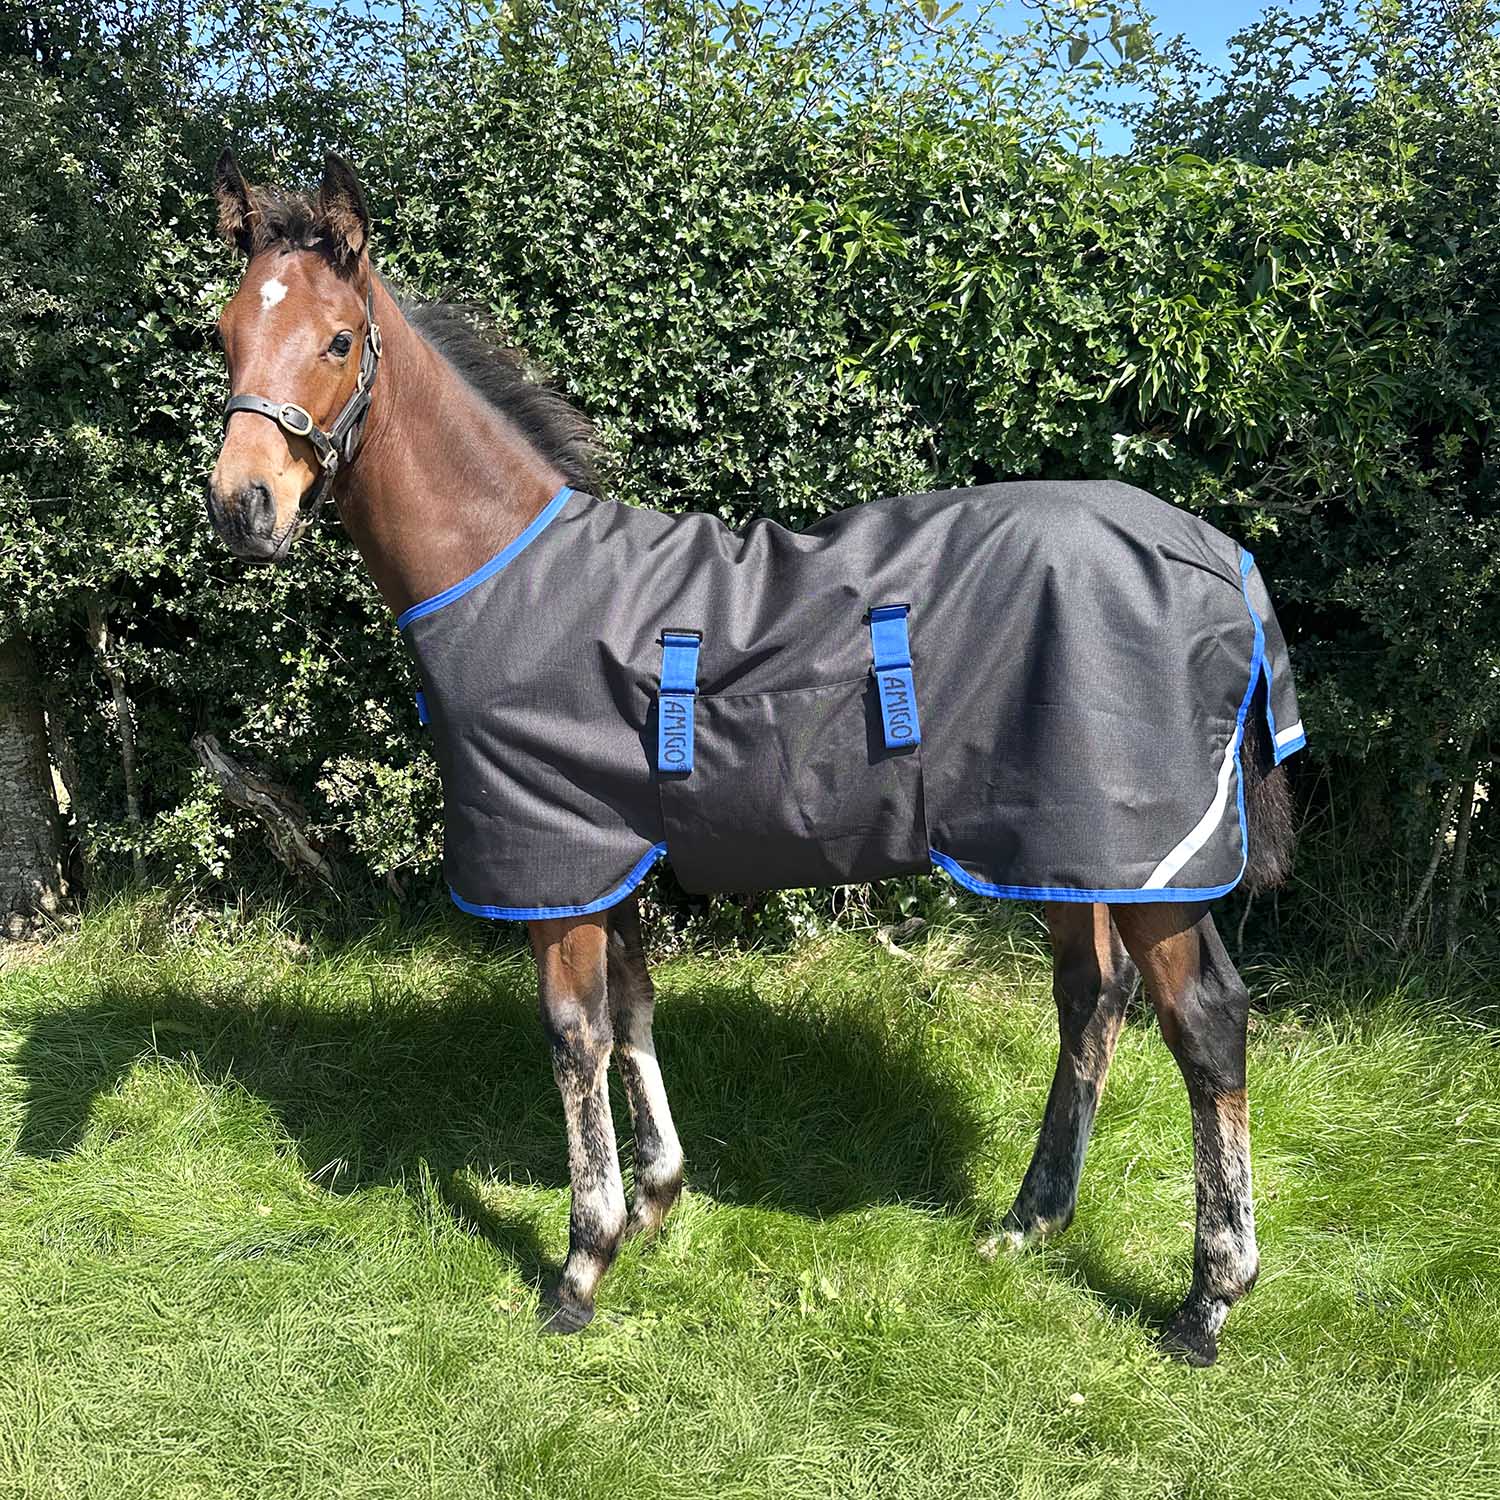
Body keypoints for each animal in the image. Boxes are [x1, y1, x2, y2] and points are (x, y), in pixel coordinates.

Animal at [206, 149, 1303, 1367]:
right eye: (224, 332)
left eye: (337, 339)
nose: (242, 506)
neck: (509, 574)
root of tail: (1216, 554)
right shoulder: (613, 855)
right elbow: (634, 1010)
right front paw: (655, 1199)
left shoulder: (558, 860)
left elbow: (575, 1038)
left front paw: (582, 1263)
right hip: (1062, 848)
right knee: (1092, 999)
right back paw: (1031, 1222)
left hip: (1155, 862)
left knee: (1205, 1027)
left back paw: (1209, 1296)